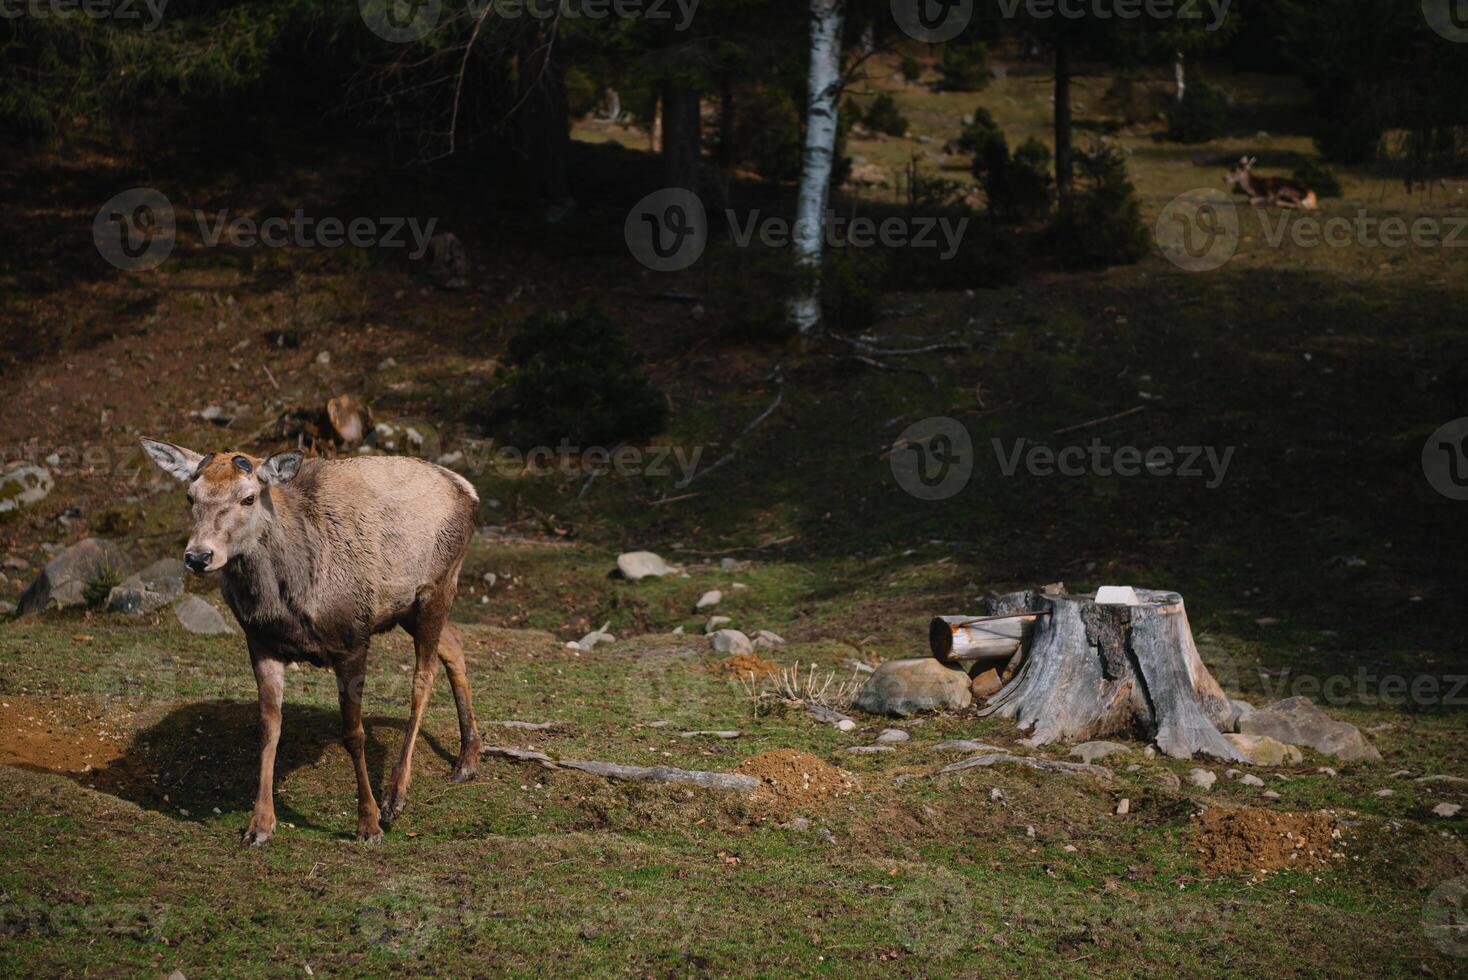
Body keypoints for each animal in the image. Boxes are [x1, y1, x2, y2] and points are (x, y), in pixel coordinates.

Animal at [139, 440, 481, 845]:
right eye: (190, 496)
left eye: (248, 497)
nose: (198, 556)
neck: (288, 600)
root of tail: (469, 491)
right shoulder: (260, 642)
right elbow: (268, 728)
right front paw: (259, 825)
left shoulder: (353, 638)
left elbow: (354, 734)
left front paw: (368, 823)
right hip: (405, 609)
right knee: (455, 642)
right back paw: (468, 759)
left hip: (437, 587)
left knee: (422, 678)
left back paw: (396, 795)